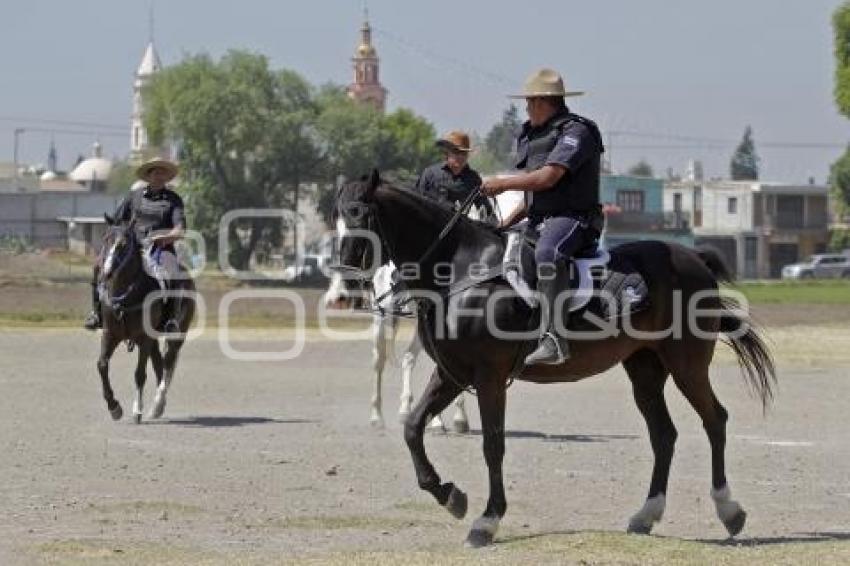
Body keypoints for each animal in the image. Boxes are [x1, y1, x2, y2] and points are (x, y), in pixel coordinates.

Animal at [95, 217, 195, 426]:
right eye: (106, 239)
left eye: (124, 244)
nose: (106, 272)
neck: (126, 296)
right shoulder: (110, 334)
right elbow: (102, 365)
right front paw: (114, 407)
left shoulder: (143, 338)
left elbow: (139, 374)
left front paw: (136, 410)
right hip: (154, 340)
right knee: (159, 364)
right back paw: (158, 408)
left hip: (175, 335)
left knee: (167, 364)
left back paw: (158, 403)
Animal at [332, 171, 776, 548]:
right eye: (337, 215)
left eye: (359, 214)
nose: (345, 278)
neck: (461, 269)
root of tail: (693, 258)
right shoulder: (451, 374)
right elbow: (412, 428)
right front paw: (450, 496)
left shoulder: (488, 378)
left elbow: (493, 445)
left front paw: (486, 521)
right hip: (645, 371)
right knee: (664, 435)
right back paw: (645, 515)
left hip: (686, 365)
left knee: (714, 420)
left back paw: (730, 511)